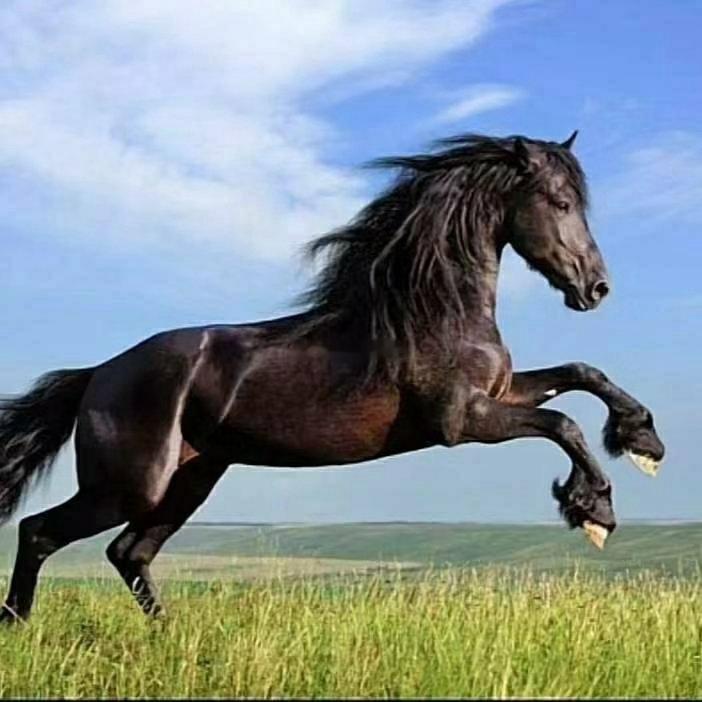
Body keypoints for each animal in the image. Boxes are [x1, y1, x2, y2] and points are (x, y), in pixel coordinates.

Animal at [0, 131, 665, 622]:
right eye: (560, 203)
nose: (596, 288)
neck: (434, 310)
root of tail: (98, 375)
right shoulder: (463, 420)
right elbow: (561, 421)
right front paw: (593, 510)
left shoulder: (499, 392)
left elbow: (580, 373)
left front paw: (642, 441)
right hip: (128, 485)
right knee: (39, 532)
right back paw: (19, 624)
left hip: (190, 479)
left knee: (128, 552)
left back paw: (169, 634)